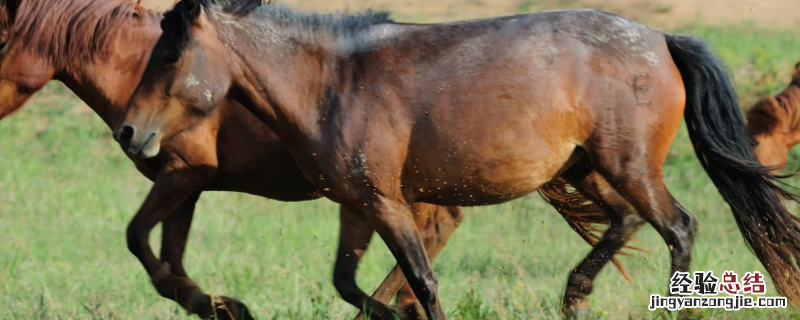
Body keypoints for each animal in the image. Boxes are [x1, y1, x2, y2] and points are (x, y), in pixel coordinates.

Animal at [114, 0, 800, 318]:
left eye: (169, 56)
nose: (127, 131)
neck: (334, 82)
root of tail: (661, 38)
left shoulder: (388, 203)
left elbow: (421, 280)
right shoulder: (357, 205)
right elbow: (349, 284)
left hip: (628, 167)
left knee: (678, 228)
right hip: (587, 169)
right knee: (626, 223)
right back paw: (574, 297)